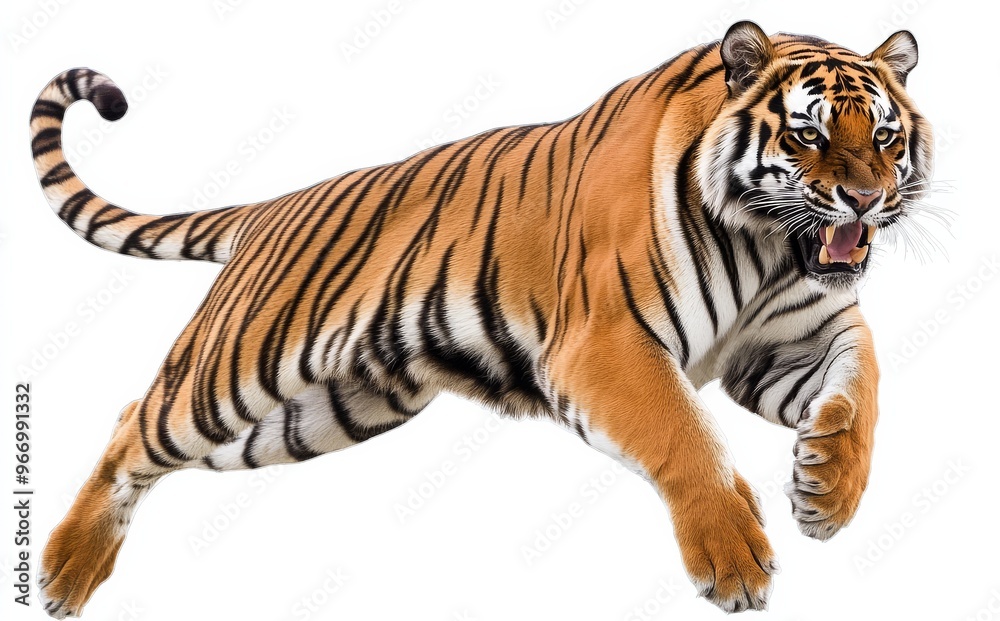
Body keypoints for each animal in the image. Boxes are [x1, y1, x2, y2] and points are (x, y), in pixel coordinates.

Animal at [29, 21, 932, 617]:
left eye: (887, 137)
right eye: (809, 134)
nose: (866, 198)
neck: (768, 244)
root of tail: (274, 206)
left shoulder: (793, 339)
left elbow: (865, 382)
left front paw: (827, 482)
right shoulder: (605, 342)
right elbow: (684, 433)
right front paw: (733, 557)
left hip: (318, 415)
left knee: (156, 438)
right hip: (238, 369)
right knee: (133, 424)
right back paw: (64, 573)